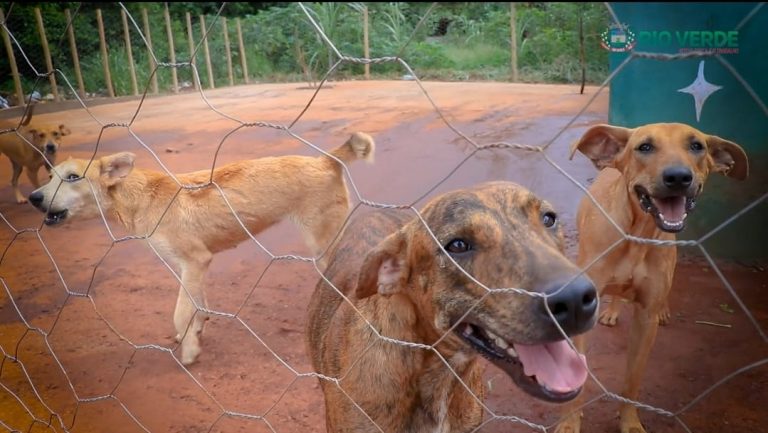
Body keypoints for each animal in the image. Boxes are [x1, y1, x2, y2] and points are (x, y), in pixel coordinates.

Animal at [28, 132, 375, 365]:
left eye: (73, 177)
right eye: (49, 176)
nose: (33, 197)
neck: (141, 198)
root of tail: (324, 160)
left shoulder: (195, 261)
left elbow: (181, 312)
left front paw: (190, 350)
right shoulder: (189, 267)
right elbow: (196, 305)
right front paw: (195, 332)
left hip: (325, 246)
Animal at [556, 123, 748, 433]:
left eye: (697, 146)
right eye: (644, 147)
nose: (678, 177)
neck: (638, 233)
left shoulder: (646, 320)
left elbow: (633, 379)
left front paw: (630, 422)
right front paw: (569, 421)